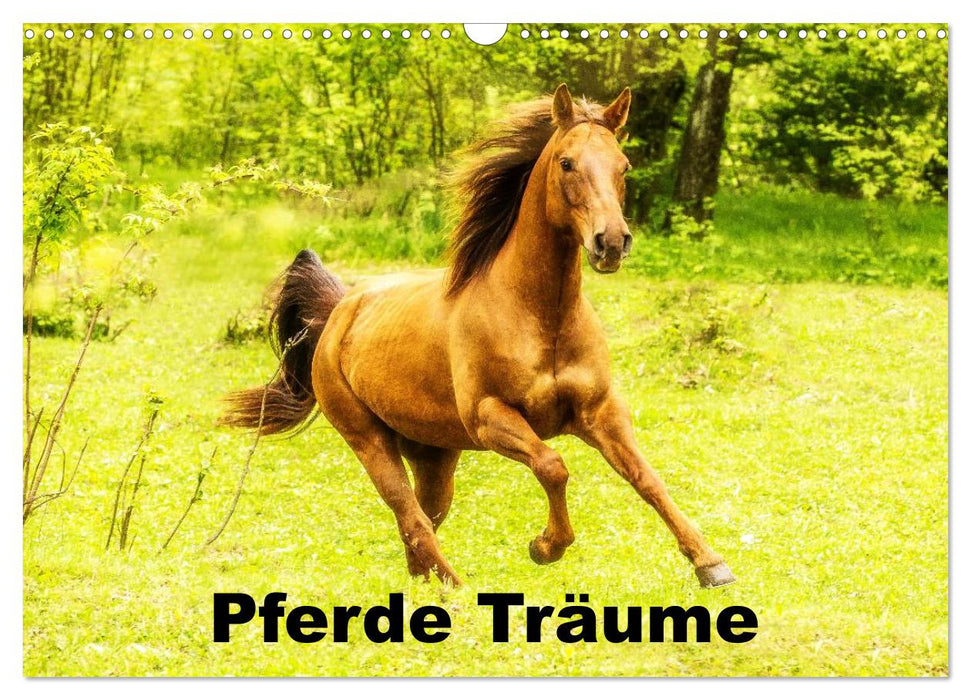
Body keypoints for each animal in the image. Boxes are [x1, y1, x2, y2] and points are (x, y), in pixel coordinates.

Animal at [221, 84, 736, 589]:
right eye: (566, 163)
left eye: (622, 165)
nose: (611, 243)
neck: (539, 317)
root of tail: (340, 311)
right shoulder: (490, 418)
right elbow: (553, 466)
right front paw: (546, 546)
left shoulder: (601, 412)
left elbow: (647, 479)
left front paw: (710, 563)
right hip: (368, 439)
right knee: (411, 516)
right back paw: (456, 589)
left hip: (433, 454)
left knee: (424, 519)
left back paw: (428, 583)